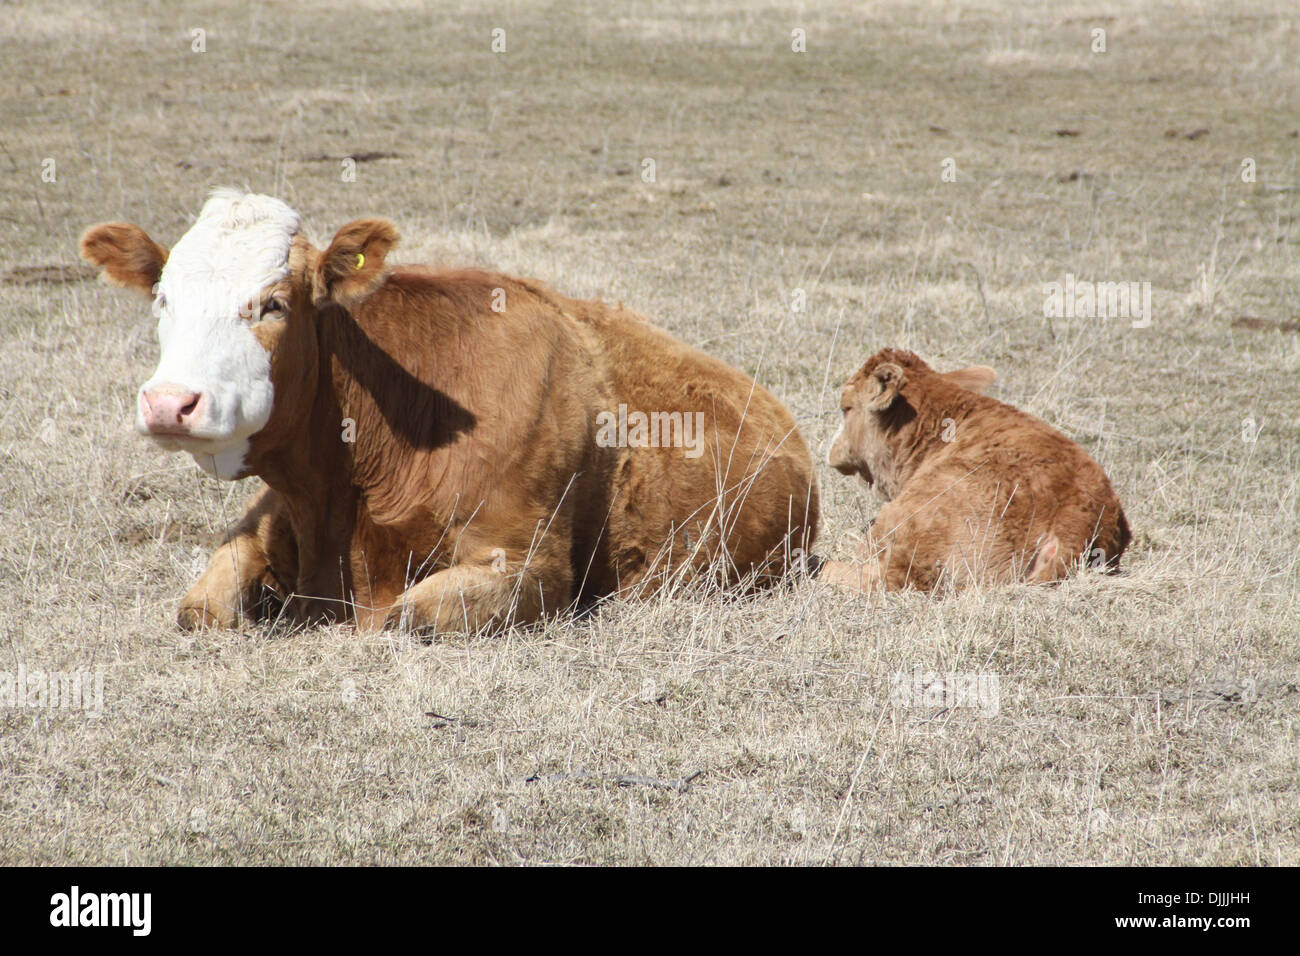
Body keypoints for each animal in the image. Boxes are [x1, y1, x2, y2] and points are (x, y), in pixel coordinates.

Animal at [81, 189, 816, 632]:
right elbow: (201, 606)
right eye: (163, 299)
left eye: (274, 304)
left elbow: (406, 617)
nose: (169, 403)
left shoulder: (527, 564)